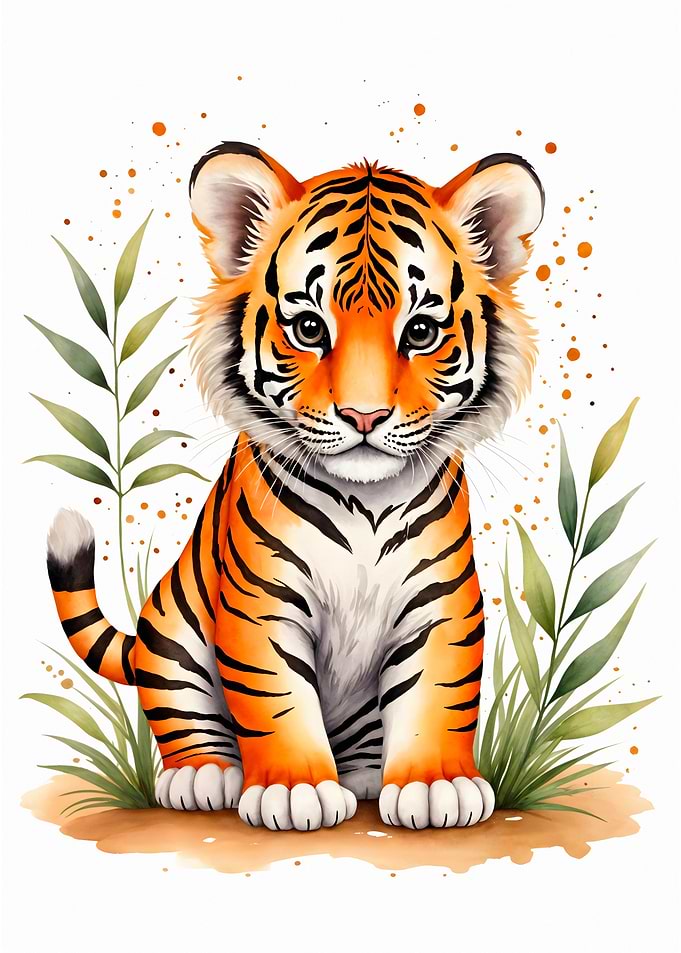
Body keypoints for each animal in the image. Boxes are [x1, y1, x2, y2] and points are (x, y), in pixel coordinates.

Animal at [46, 141, 544, 831]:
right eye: (309, 329)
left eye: (419, 333)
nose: (364, 416)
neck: (368, 501)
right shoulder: (261, 602)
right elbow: (274, 696)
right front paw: (294, 790)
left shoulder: (441, 602)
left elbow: (438, 694)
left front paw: (435, 784)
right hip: (171, 636)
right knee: (185, 717)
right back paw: (204, 776)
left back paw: (365, 775)